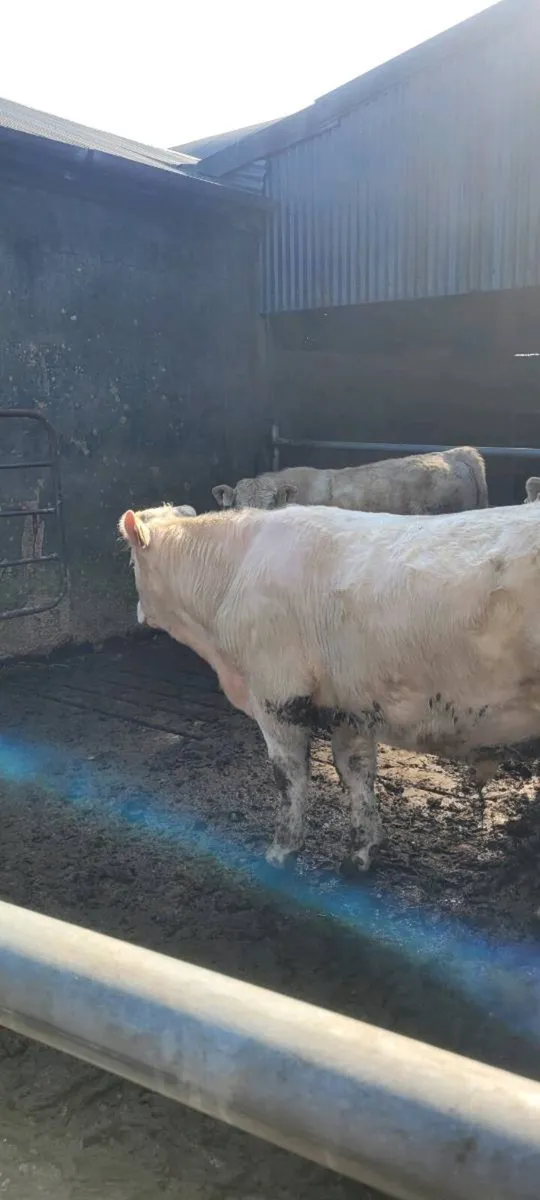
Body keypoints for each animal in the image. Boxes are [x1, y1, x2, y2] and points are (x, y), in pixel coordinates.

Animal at [119, 500, 540, 873]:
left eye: (133, 562)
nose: (137, 612)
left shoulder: (276, 696)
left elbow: (289, 777)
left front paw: (282, 851)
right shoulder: (351, 705)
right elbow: (356, 771)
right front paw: (363, 850)